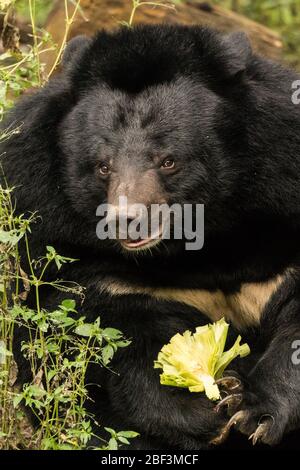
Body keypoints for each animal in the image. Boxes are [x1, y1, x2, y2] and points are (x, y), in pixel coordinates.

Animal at [1, 23, 300, 450]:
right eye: (103, 166)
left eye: (168, 161)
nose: (127, 221)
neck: (198, 245)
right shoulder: (77, 250)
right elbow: (119, 341)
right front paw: (202, 406)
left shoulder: (279, 207)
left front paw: (250, 410)